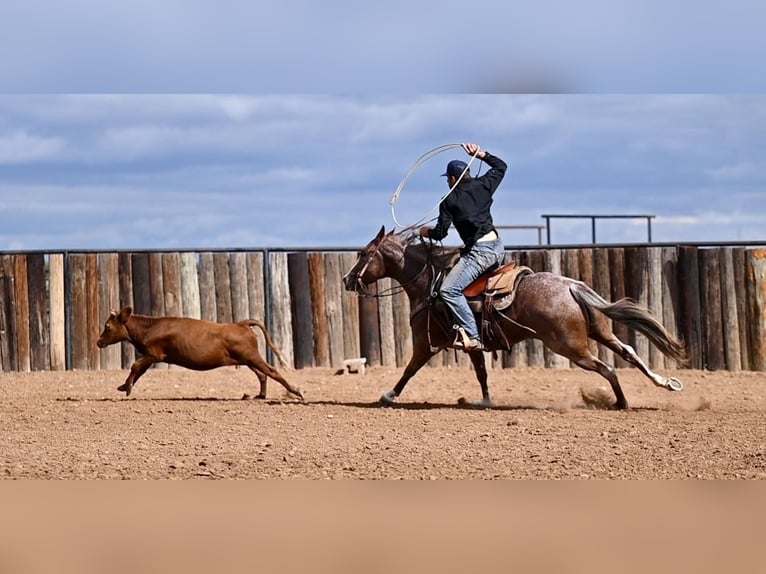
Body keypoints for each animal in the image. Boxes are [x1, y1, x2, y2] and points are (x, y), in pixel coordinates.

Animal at [99, 306, 306, 400]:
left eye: (107, 326)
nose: (98, 341)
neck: (149, 328)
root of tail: (241, 324)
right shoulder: (150, 357)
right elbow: (139, 371)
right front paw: (125, 386)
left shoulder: (154, 354)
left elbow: (135, 366)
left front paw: (126, 387)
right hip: (246, 359)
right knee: (262, 375)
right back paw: (260, 395)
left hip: (252, 357)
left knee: (271, 371)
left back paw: (296, 391)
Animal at [344, 227, 688, 412]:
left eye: (364, 253)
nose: (348, 279)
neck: (430, 281)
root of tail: (571, 286)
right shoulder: (473, 344)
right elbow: (481, 373)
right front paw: (484, 401)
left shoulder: (425, 342)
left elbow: (409, 370)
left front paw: (387, 396)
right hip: (600, 332)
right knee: (628, 353)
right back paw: (663, 384)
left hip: (571, 346)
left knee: (608, 367)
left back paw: (620, 402)